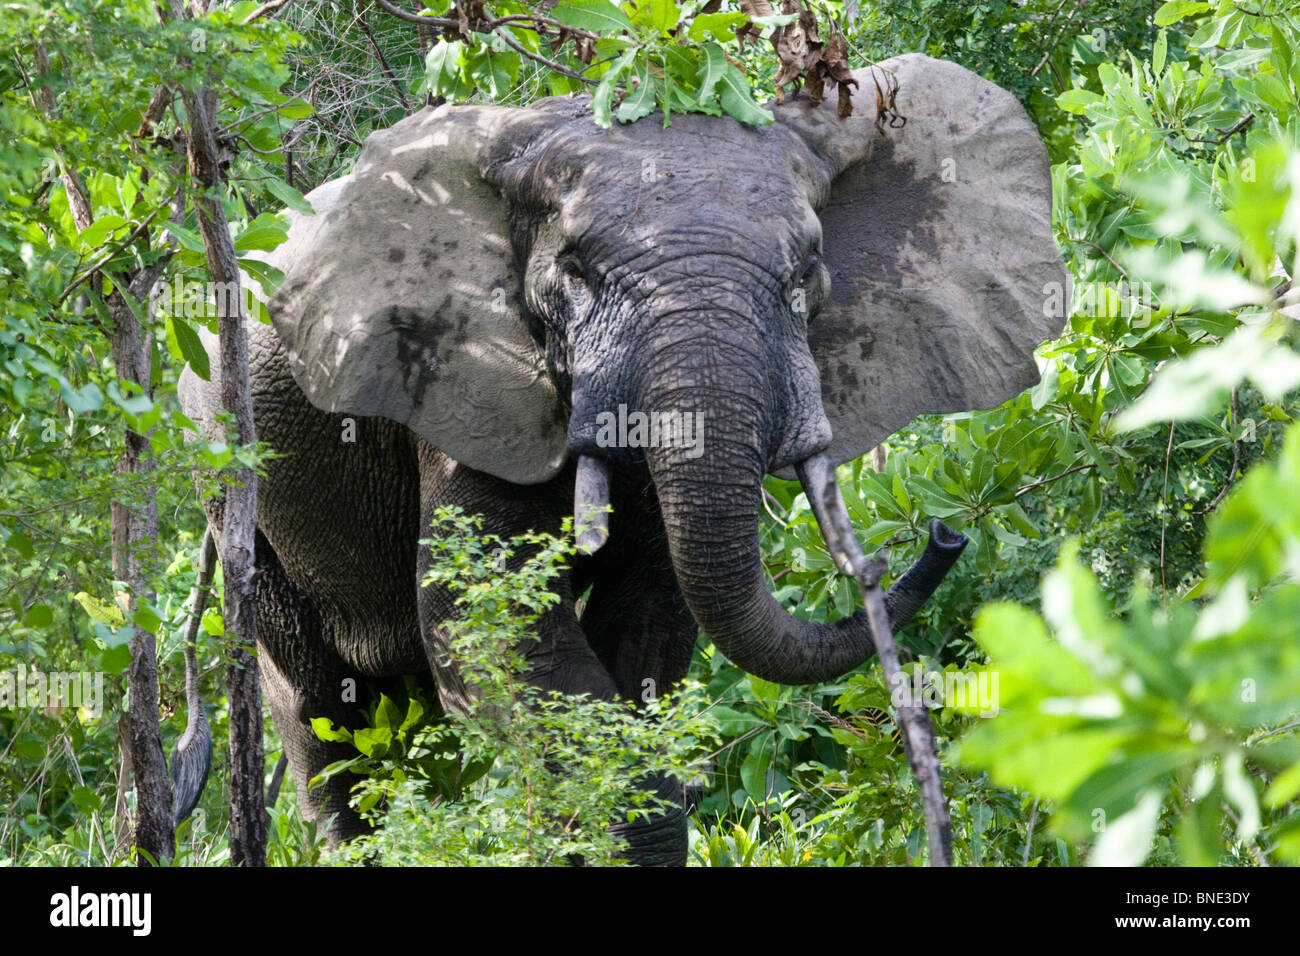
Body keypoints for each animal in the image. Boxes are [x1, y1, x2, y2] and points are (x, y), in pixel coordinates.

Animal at [180, 54, 1066, 868]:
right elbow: (487, 626)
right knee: (322, 711)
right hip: (230, 465)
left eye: (805, 275)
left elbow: (646, 626)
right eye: (574, 272)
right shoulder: (459, 387)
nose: (945, 538)